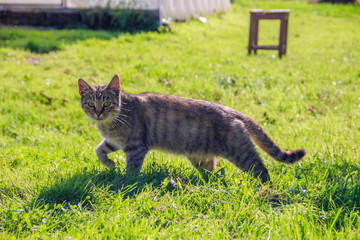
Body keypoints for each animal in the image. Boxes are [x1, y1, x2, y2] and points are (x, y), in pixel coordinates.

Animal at [77, 74, 306, 183]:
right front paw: (110, 164)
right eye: (91, 104)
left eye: (107, 103)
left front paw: (126, 180)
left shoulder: (135, 147)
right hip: (200, 157)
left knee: (262, 171)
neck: (111, 121)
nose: (98, 113)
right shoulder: (114, 142)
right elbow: (99, 150)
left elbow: (132, 170)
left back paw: (266, 191)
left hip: (242, 154)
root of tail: (232, 111)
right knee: (212, 169)